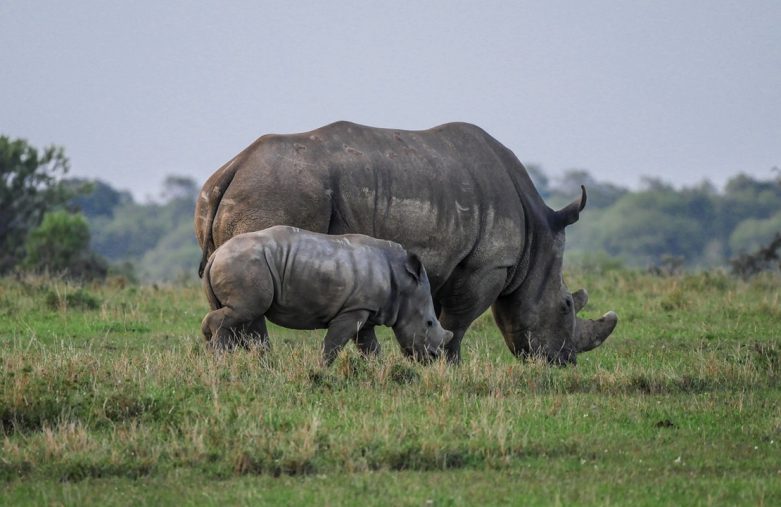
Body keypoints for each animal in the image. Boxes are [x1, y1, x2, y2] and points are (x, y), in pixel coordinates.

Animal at [201, 226, 454, 366]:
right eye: (429, 323)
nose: (433, 358)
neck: (403, 282)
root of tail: (215, 254)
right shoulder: (353, 310)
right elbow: (333, 343)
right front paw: (319, 370)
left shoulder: (364, 309)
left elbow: (370, 348)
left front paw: (381, 371)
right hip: (244, 264)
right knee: (246, 312)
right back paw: (220, 360)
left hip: (242, 264)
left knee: (246, 317)